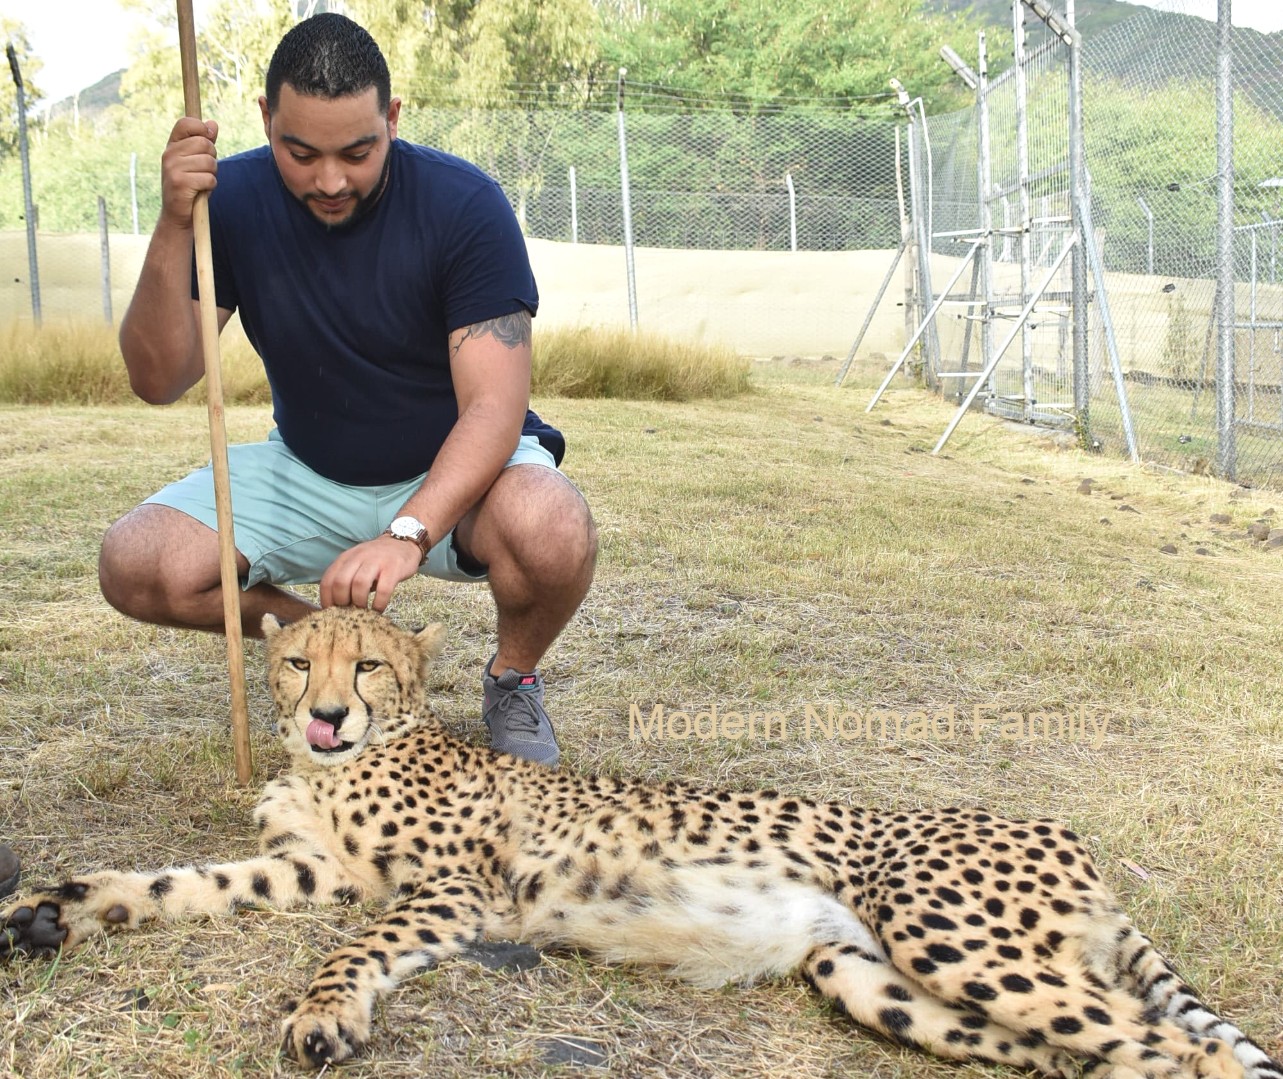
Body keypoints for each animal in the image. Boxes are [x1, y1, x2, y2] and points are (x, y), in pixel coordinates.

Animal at [3, 607, 1280, 1078]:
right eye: (290, 659)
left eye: (364, 663)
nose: (323, 715)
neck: (343, 760)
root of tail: (1058, 829)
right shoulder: (312, 864)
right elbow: (182, 881)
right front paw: (56, 904)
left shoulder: (454, 890)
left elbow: (351, 947)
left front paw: (324, 1014)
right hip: (867, 973)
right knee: (1118, 1052)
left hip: (947, 933)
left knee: (1186, 1049)